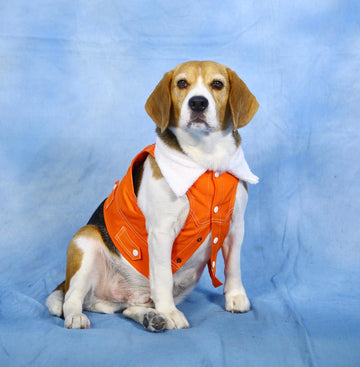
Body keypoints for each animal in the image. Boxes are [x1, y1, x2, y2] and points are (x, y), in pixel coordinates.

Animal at [46, 61, 258, 334]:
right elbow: (164, 276)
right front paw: (170, 313)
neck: (206, 159)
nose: (198, 103)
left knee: (128, 308)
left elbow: (233, 266)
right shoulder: (161, 231)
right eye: (181, 83)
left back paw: (150, 317)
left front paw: (235, 296)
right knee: (72, 298)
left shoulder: (235, 224)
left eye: (218, 84)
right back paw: (78, 317)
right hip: (86, 241)